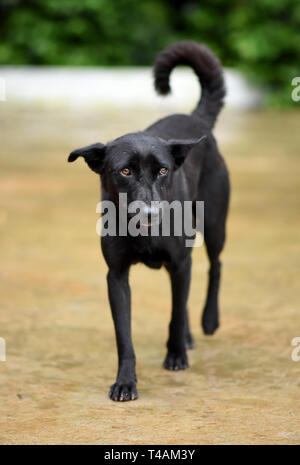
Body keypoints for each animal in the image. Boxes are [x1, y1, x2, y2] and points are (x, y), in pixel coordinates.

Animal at [68, 41, 230, 400]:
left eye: (163, 170)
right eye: (125, 171)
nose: (151, 214)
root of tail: (194, 119)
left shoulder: (180, 261)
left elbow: (174, 314)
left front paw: (176, 356)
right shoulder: (116, 276)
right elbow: (124, 336)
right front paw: (125, 381)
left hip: (214, 224)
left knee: (215, 266)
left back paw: (208, 321)